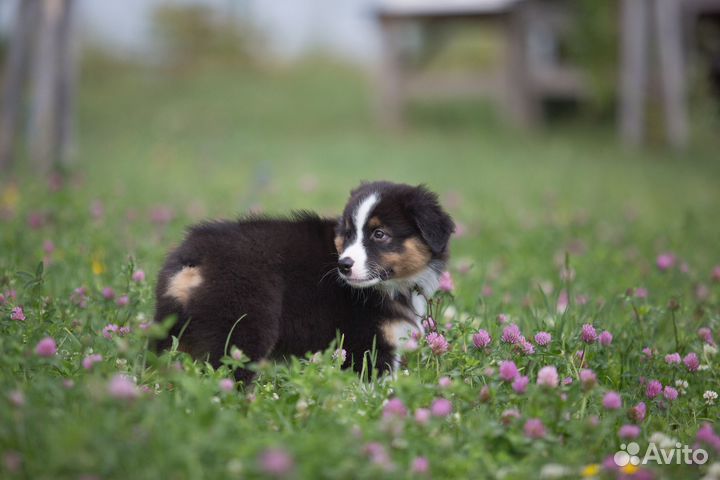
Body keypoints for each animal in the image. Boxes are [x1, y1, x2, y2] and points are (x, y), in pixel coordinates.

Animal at [154, 180, 452, 382]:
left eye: (379, 234)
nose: (343, 266)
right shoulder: (366, 343)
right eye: (348, 233)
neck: (394, 287)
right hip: (243, 328)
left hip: (172, 327)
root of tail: (194, 255)